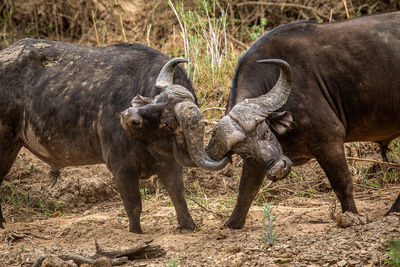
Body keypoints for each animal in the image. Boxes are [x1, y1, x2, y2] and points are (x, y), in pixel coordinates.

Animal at [0, 38, 227, 234]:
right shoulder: (121, 167)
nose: (129, 116)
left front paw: (188, 225)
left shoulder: (169, 164)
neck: (148, 144)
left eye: (170, 122)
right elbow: (133, 205)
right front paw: (135, 232)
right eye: (155, 99)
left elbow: (178, 194)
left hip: (13, 145)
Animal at [206, 11, 400, 229]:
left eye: (266, 133)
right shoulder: (258, 161)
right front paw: (232, 223)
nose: (278, 169)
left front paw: (352, 216)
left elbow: (342, 181)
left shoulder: (328, 140)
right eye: (244, 152)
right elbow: (246, 190)